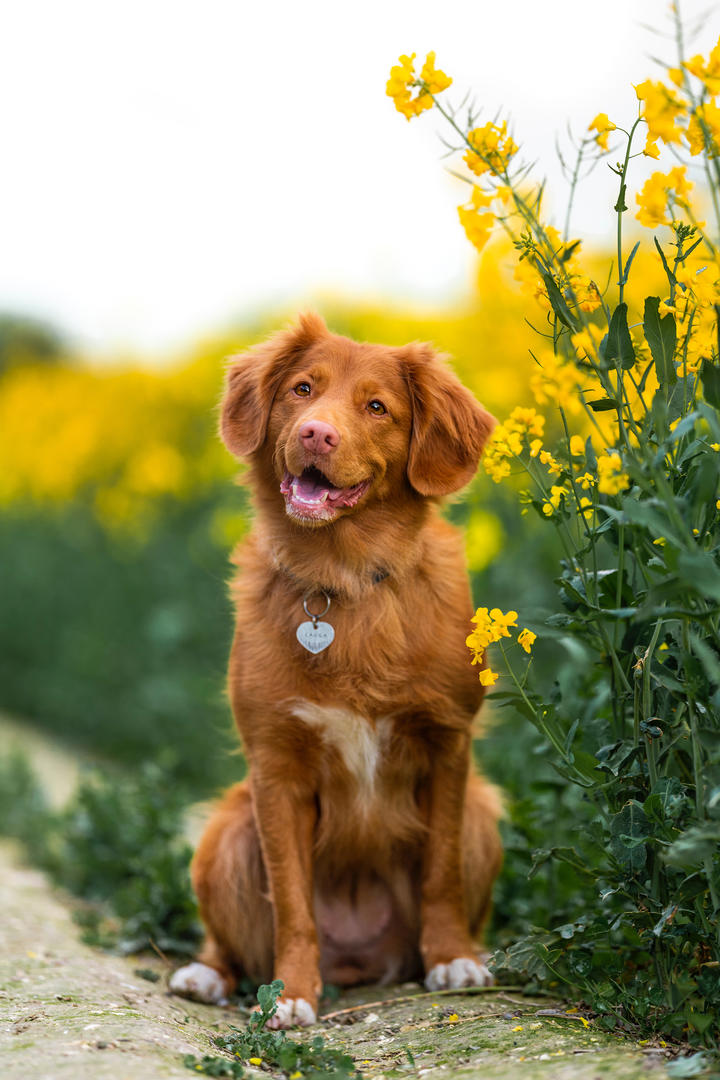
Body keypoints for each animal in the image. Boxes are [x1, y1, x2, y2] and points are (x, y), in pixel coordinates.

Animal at [171, 315, 505, 1028]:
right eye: (303, 389)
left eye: (377, 407)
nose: (315, 433)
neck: (342, 579)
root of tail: (358, 964)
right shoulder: (276, 770)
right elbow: (293, 904)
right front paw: (292, 993)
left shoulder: (448, 745)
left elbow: (440, 873)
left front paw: (452, 959)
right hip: (226, 830)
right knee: (231, 944)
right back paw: (207, 975)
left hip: (483, 814)